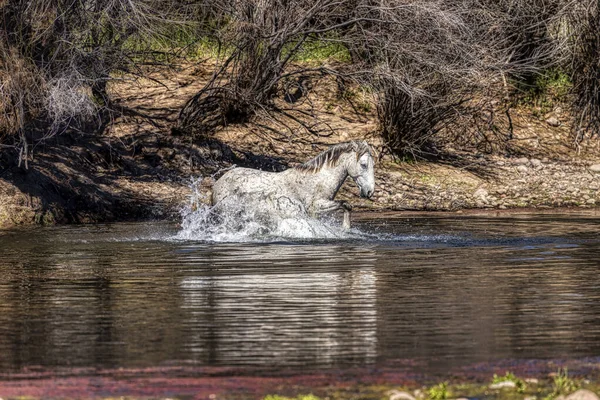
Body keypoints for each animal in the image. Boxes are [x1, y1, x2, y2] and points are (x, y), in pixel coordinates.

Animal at [211, 141, 376, 230]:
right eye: (363, 165)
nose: (369, 191)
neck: (317, 180)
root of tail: (218, 183)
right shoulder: (316, 206)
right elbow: (346, 204)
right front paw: (345, 228)